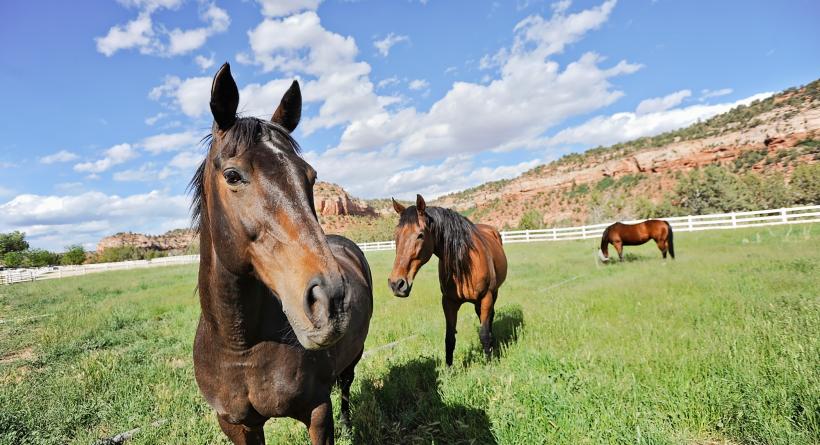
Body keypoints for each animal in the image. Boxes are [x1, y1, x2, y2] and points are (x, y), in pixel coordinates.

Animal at [190, 63, 372, 445]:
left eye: (310, 176)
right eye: (233, 175)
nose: (331, 299)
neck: (241, 346)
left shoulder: (318, 412)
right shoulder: (238, 425)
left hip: (353, 357)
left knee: (346, 386)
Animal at [388, 195, 507, 367]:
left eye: (420, 235)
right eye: (396, 235)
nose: (397, 284)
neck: (464, 263)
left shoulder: (486, 297)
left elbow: (483, 333)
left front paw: (489, 364)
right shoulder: (449, 302)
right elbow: (449, 338)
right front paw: (449, 369)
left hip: (494, 293)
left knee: (489, 317)